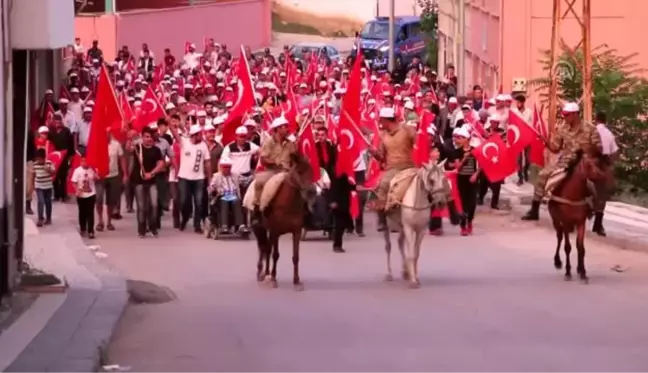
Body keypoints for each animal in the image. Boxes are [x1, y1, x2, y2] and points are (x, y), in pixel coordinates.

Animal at [252, 152, 312, 290]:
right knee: (263, 248)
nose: (311, 191)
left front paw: (296, 281)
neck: (288, 203)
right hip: (259, 228)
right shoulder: (276, 231)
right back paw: (262, 273)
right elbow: (275, 255)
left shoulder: (296, 231)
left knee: (266, 248)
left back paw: (265, 274)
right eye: (299, 171)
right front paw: (273, 278)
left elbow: (296, 257)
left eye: (311, 171)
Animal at [548, 148, 608, 282]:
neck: (573, 195)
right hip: (556, 220)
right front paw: (568, 272)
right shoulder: (565, 222)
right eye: (589, 164)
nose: (602, 176)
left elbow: (580, 247)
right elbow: (567, 247)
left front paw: (582, 272)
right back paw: (557, 261)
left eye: (597, 163)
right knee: (559, 237)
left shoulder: (581, 222)